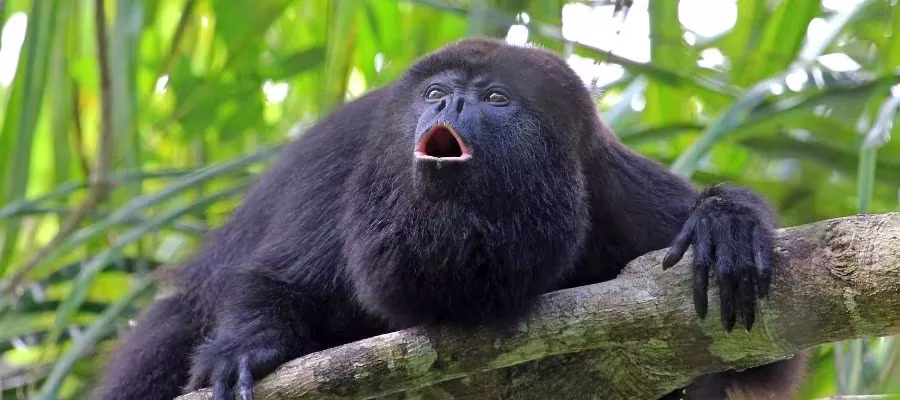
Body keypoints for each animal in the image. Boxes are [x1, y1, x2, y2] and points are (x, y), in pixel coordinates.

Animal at [92, 38, 806, 400]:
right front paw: (249, 346)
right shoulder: (350, 160)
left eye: (495, 97)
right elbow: (281, 280)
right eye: (436, 92)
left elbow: (760, 363)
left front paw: (724, 223)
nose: (454, 102)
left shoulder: (613, 186)